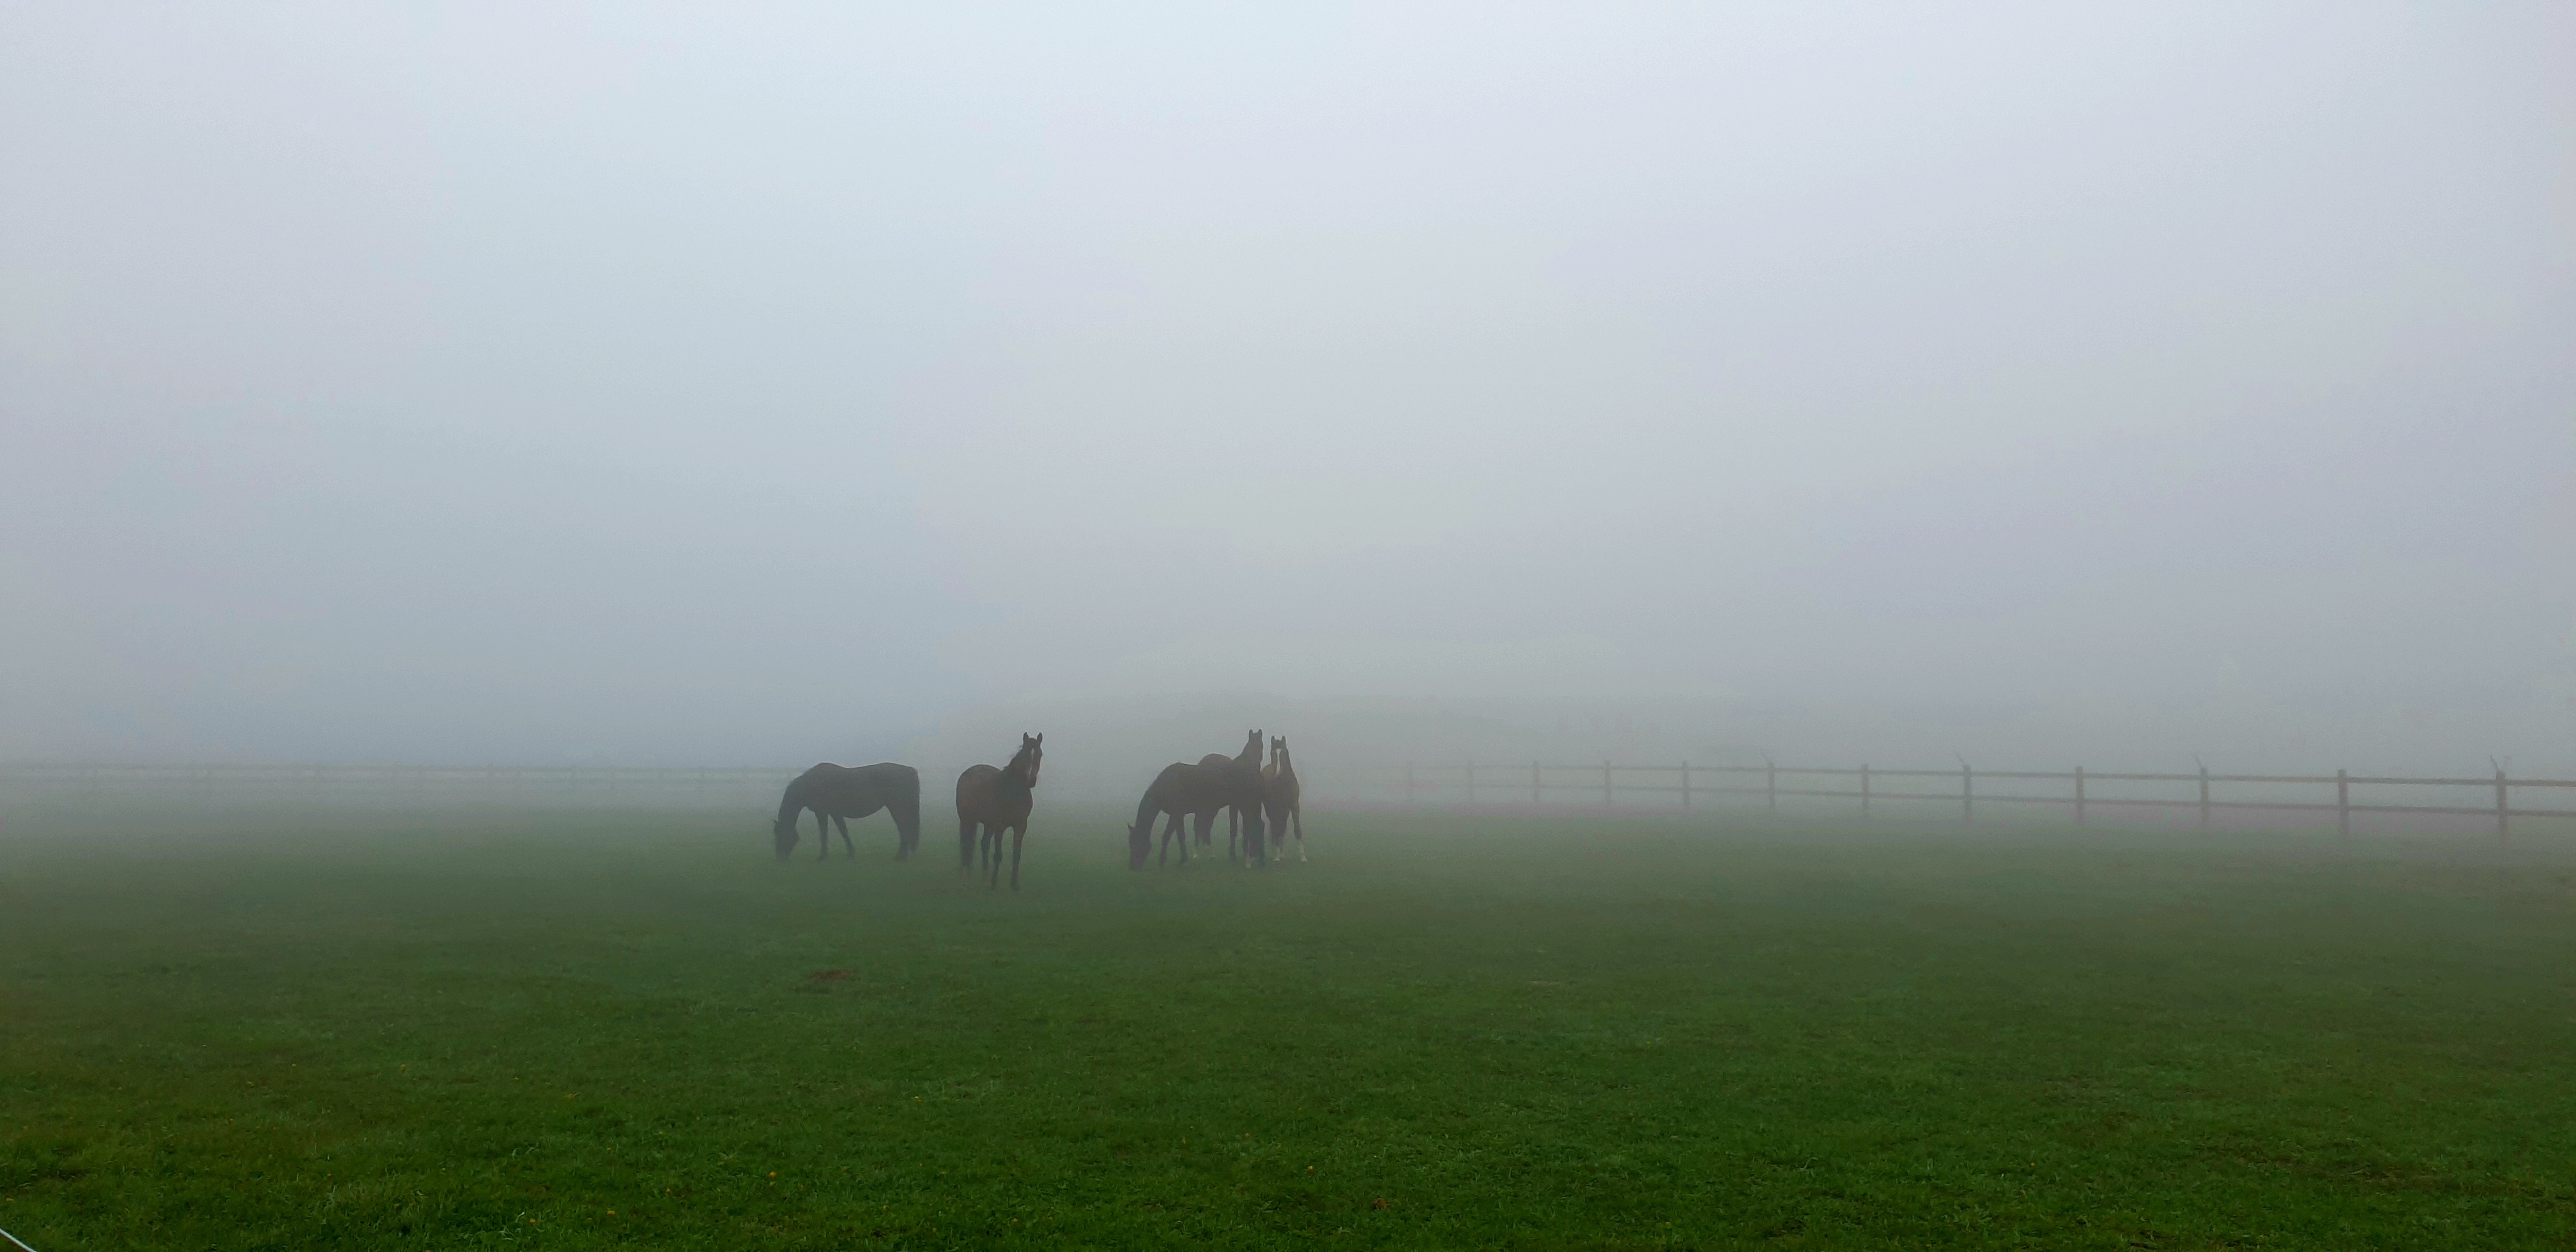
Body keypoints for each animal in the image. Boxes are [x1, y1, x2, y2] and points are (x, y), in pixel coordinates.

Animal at [772, 762, 922, 862]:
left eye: (779, 835)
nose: (779, 859)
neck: (810, 784)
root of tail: (910, 771)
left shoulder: (824, 813)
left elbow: (827, 833)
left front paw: (824, 856)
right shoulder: (833, 813)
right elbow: (841, 831)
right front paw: (849, 853)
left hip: (896, 808)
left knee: (903, 828)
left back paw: (900, 856)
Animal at [955, 733, 1043, 890]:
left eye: (1040, 754)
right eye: (1025, 754)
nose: (1031, 781)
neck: (1012, 791)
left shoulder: (1021, 826)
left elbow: (1017, 854)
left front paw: (1014, 885)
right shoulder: (1000, 827)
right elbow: (998, 855)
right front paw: (994, 884)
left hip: (988, 824)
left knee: (984, 844)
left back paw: (985, 878)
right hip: (967, 820)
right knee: (965, 845)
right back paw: (966, 880)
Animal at [1263, 735, 1305, 863]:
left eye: (1284, 753)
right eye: (1272, 753)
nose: (1276, 773)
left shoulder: (1295, 806)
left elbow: (1297, 830)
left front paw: (1303, 857)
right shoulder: (1274, 807)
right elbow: (1276, 829)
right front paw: (1276, 857)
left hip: (1284, 811)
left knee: (1282, 827)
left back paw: (1281, 853)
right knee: (1276, 827)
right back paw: (1277, 853)